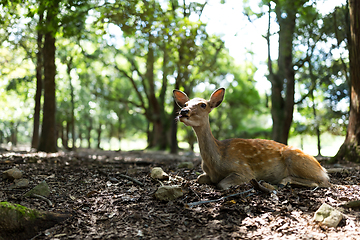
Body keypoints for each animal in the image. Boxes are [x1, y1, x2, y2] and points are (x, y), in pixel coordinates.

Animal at [173, 87, 330, 190]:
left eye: (203, 104)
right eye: (186, 104)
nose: (183, 111)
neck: (216, 162)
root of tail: (322, 168)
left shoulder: (244, 170)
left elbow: (221, 184)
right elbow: (199, 178)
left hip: (296, 159)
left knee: (323, 182)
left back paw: (280, 182)